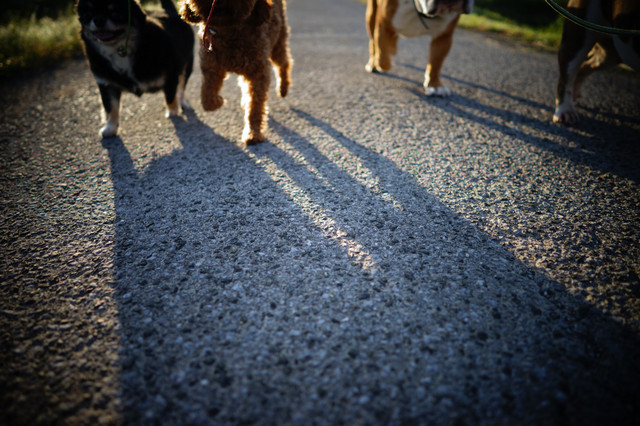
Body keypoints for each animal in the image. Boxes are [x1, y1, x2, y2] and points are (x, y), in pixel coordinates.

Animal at [77, 0, 195, 138]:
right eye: (88, 14)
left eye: (114, 11)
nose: (98, 20)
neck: (119, 50)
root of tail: (170, 12)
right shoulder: (106, 86)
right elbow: (111, 108)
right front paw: (110, 127)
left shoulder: (170, 76)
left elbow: (170, 97)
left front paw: (172, 112)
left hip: (186, 67)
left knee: (181, 87)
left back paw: (182, 103)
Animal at [179, 0, 292, 144]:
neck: (229, 30)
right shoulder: (211, 66)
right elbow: (207, 99)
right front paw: (218, 101)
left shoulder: (259, 71)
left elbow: (255, 106)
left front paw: (253, 133)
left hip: (278, 40)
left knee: (284, 63)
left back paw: (283, 88)